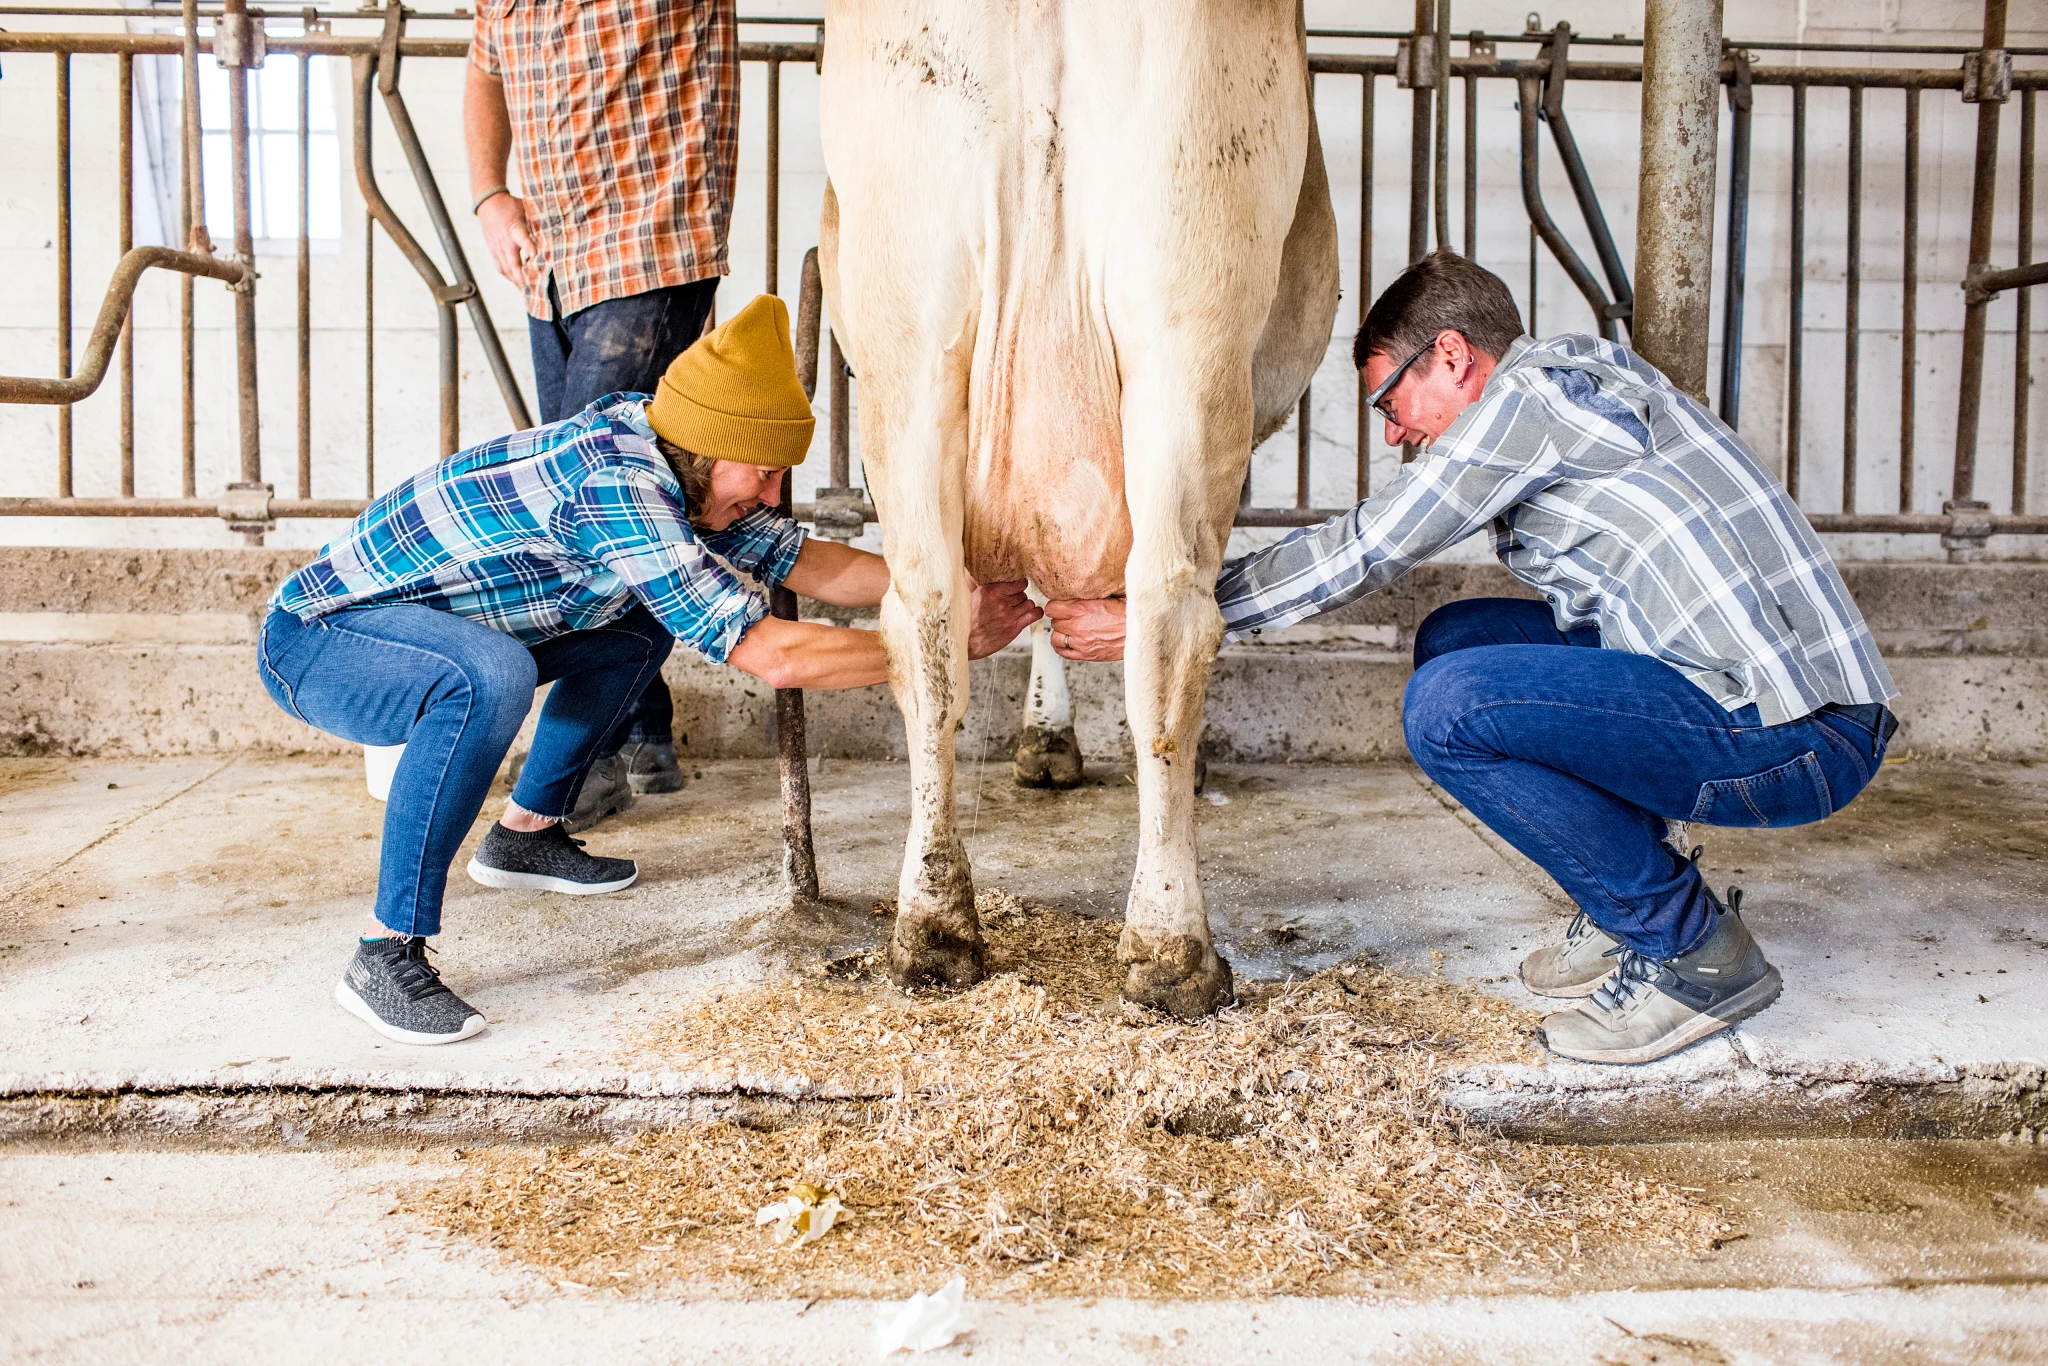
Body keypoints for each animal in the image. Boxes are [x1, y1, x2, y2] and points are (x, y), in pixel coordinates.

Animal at [815, 0, 1343, 1015]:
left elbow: (1042, 594)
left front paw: (1045, 735)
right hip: (1189, 318)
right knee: (1172, 616)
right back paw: (1174, 952)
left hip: (911, 338)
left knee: (926, 622)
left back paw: (934, 930)